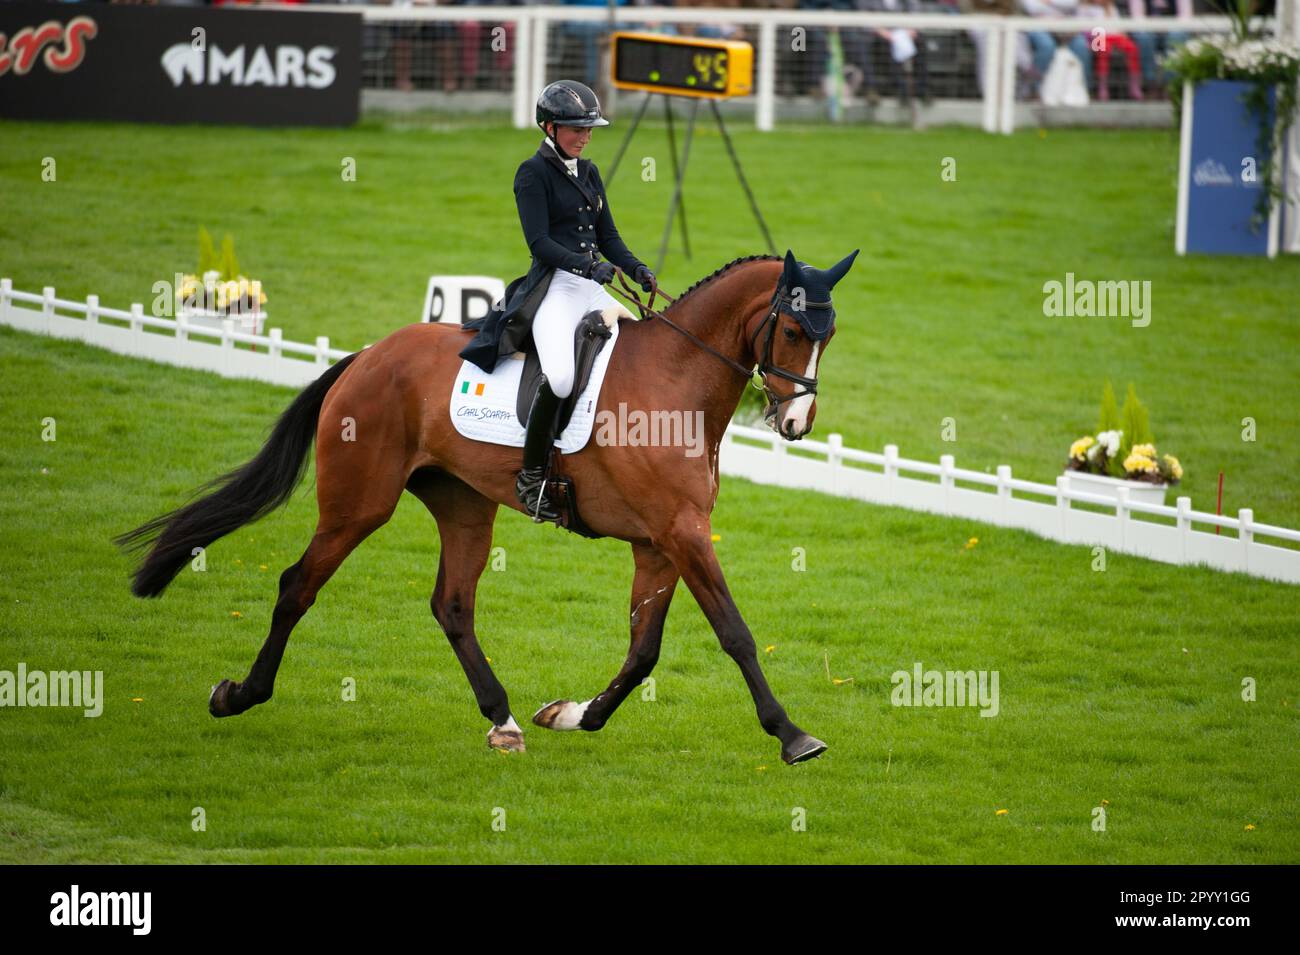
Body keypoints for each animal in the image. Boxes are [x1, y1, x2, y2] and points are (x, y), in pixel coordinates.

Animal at [116, 250, 857, 764]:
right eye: (794, 329)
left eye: (830, 333)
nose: (797, 424)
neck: (677, 380)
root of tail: (368, 356)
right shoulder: (681, 534)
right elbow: (734, 632)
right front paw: (793, 735)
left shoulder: (662, 541)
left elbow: (643, 650)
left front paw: (573, 714)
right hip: (359, 505)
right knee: (298, 586)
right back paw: (239, 695)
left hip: (464, 504)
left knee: (452, 605)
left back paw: (502, 719)